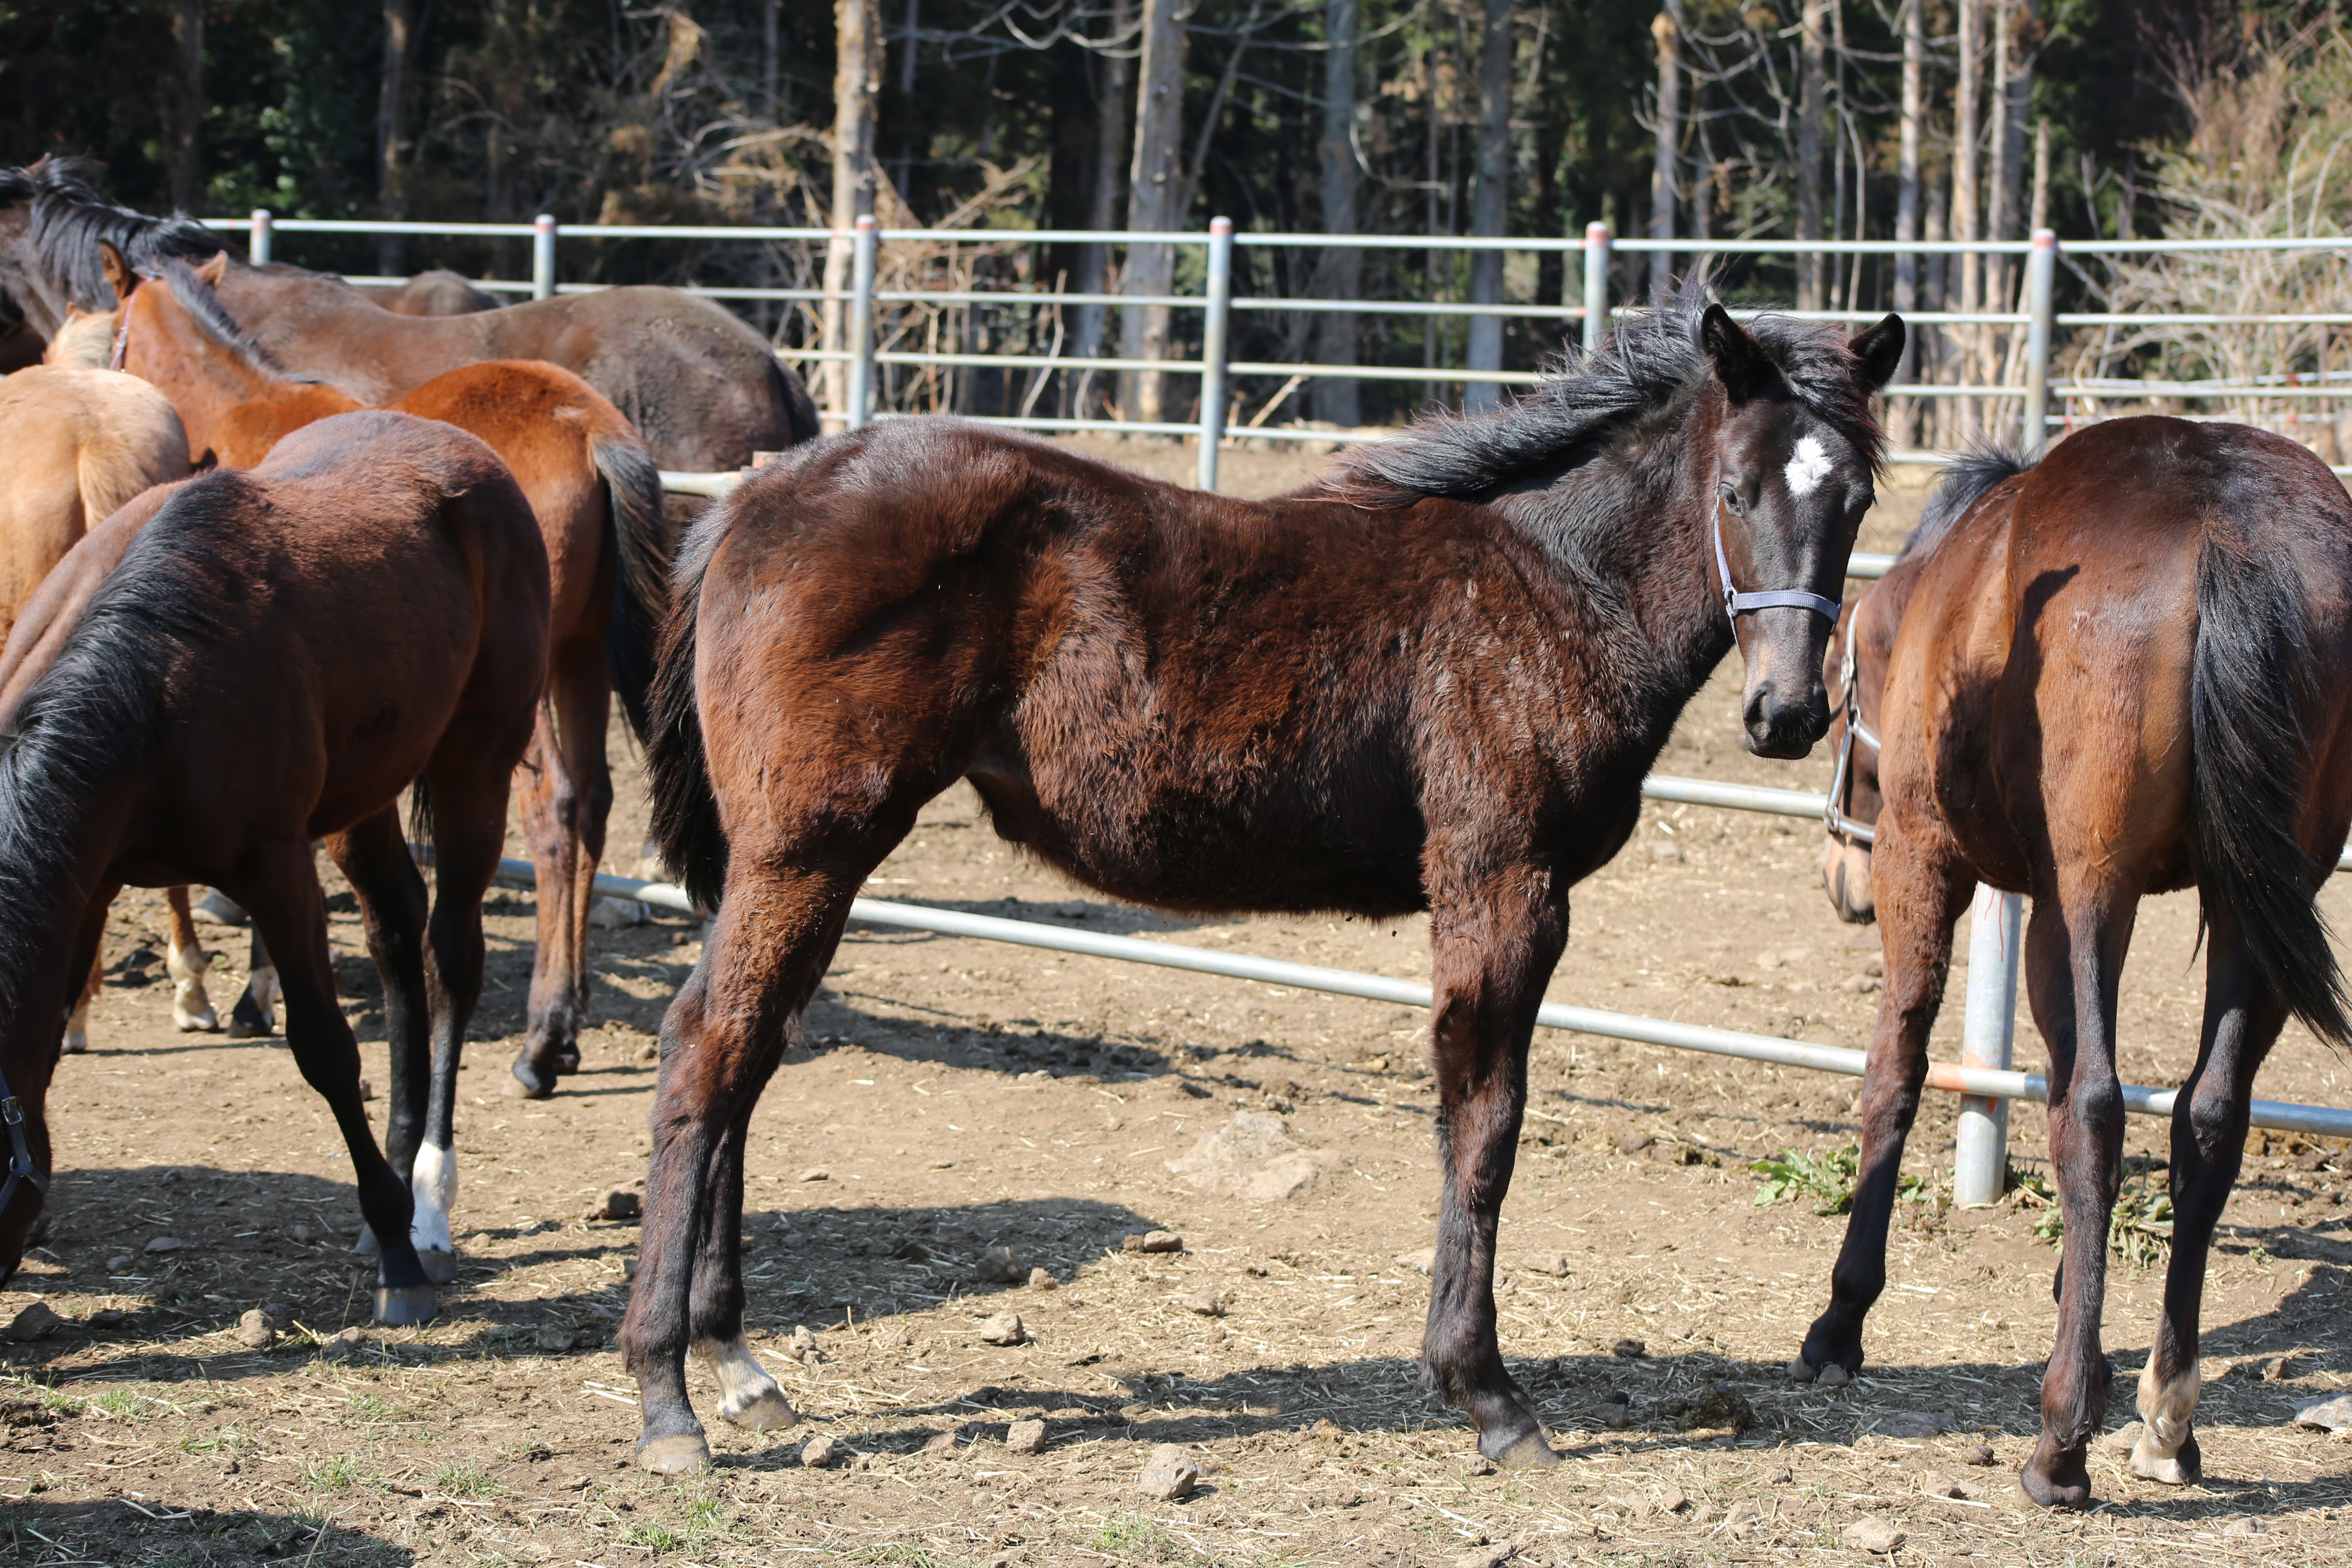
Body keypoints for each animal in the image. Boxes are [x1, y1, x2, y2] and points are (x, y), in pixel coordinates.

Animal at [0, 411, 548, 1316]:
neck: (149, 686)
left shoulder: (279, 875)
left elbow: (325, 1050)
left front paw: (399, 1255)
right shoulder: (88, 885)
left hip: (476, 765)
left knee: (450, 958)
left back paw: (427, 1205)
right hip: (365, 795)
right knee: (396, 938)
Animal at [112, 252, 673, 1114]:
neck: (248, 411)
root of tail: (588, 425)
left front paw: (252, 996)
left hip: (523, 692)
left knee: (554, 811)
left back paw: (543, 1042)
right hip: (578, 662)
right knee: (595, 805)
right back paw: (570, 1014)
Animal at [626, 291, 1910, 1476]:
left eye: (1855, 500)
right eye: (1734, 492)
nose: (1787, 715)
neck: (1553, 584)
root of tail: (747, 502)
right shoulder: (1503, 883)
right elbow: (1484, 1121)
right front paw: (1489, 1396)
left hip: (791, 863)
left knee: (748, 1053)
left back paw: (739, 1364)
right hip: (809, 850)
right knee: (706, 1049)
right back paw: (666, 1397)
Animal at [1797, 416, 2352, 1504]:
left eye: (1846, 701)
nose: (1839, 871)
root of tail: (2226, 515)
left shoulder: (1922, 860)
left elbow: (1896, 1070)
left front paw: (1840, 1321)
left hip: (2086, 888)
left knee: (2092, 1104)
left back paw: (2060, 1444)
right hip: (2256, 907)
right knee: (2208, 1116)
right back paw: (2165, 1415)